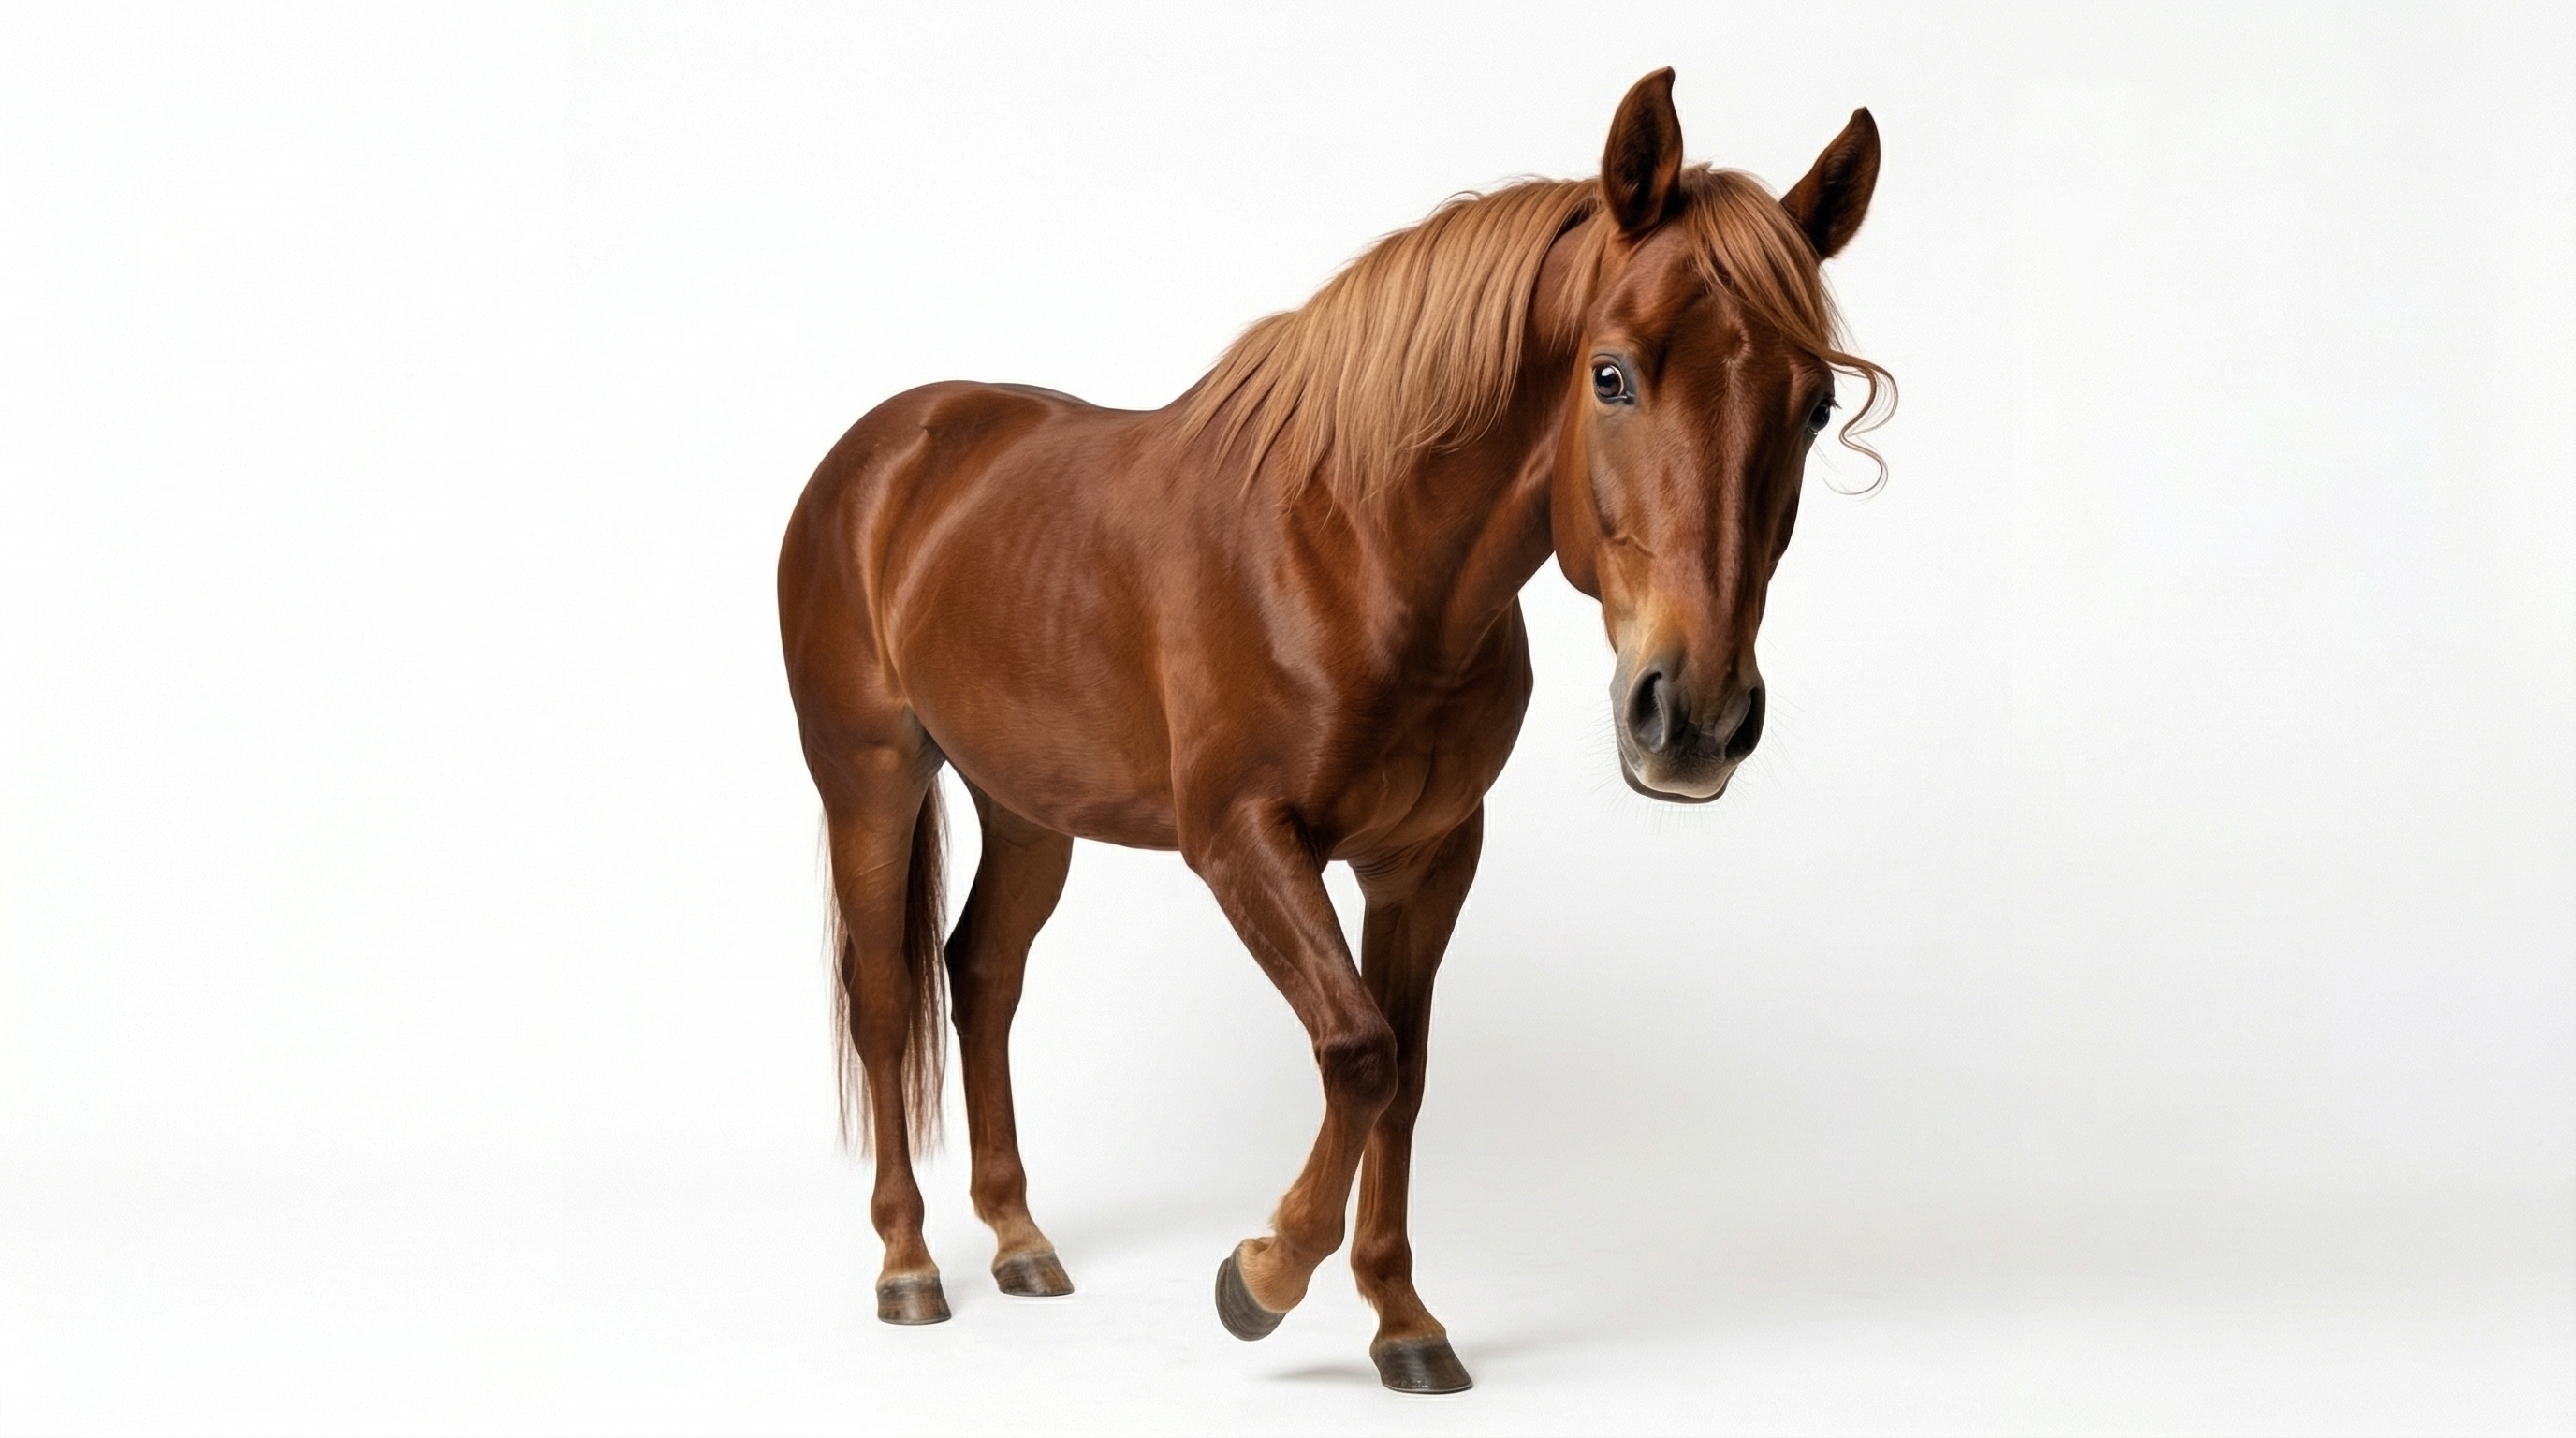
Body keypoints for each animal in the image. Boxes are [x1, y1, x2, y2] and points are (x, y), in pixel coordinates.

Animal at [777, 68, 1888, 1393]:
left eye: (1814, 408)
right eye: (1612, 376)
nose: (1695, 717)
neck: (1359, 557)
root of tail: (889, 446)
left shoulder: (1427, 858)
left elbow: (1405, 1072)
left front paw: (1402, 1321)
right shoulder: (1244, 842)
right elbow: (1358, 1048)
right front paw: (1258, 1278)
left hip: (1029, 805)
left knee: (982, 975)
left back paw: (1019, 1241)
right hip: (872, 778)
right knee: (886, 995)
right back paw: (907, 1265)